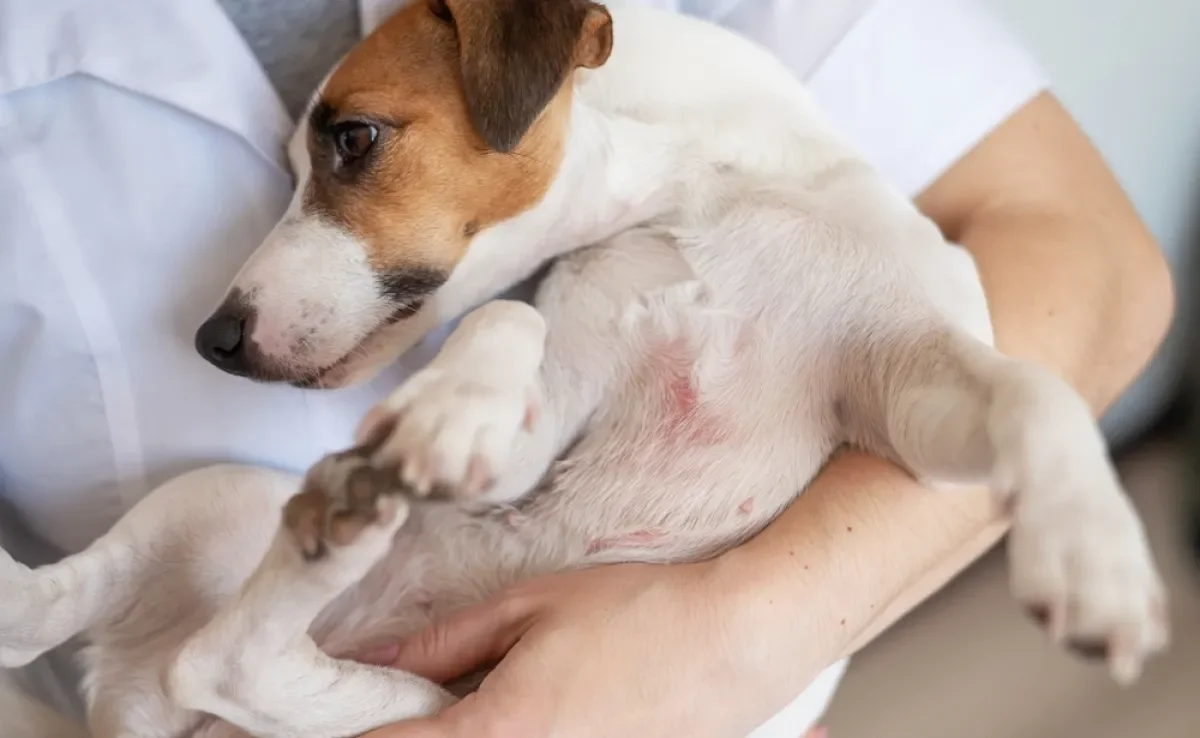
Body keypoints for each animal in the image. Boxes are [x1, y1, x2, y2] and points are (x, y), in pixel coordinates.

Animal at [0, 1, 1166, 738]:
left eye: (353, 139)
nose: (214, 338)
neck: (710, 192)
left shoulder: (908, 390)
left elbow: (1036, 392)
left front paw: (1089, 550)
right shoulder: (541, 411)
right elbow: (508, 324)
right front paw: (455, 404)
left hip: (397, 685)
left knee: (229, 660)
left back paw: (340, 524)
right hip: (224, 505)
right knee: (109, 630)